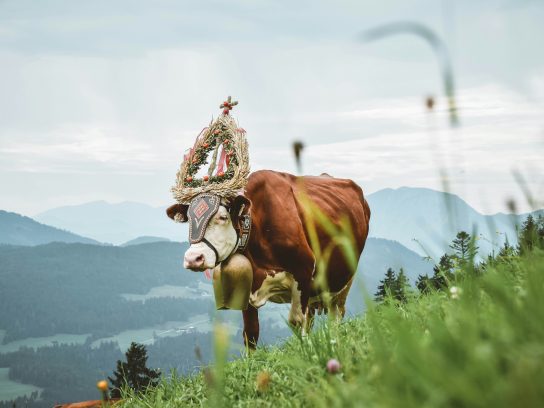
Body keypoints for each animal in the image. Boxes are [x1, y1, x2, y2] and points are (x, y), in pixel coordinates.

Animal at [166, 169, 370, 348]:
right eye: (189, 221)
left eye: (223, 217)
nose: (193, 258)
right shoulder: (247, 283)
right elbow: (250, 333)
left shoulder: (303, 272)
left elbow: (296, 322)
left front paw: (305, 353)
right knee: (312, 318)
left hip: (344, 282)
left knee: (335, 316)